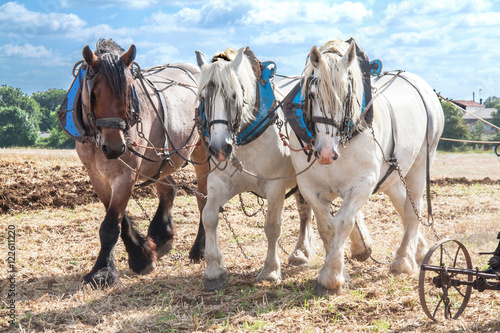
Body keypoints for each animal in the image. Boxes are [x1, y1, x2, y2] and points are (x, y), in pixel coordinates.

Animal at [70, 39, 207, 288]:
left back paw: (199, 249)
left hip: (203, 153)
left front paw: (102, 272)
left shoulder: (125, 176)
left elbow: (111, 225)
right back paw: (161, 235)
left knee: (204, 199)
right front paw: (142, 255)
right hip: (163, 160)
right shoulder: (97, 177)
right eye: (94, 94)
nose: (115, 148)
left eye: (128, 92)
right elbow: (119, 221)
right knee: (169, 190)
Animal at [195, 47, 320, 290]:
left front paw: (270, 270)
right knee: (304, 212)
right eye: (203, 97)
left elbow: (272, 226)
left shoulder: (275, 187)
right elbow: (209, 217)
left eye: (234, 96)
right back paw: (301, 252)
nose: (219, 148)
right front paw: (214, 270)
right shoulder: (219, 183)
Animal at [290, 39, 446, 296]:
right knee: (402, 203)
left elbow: (343, 222)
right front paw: (337, 273)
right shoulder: (310, 187)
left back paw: (403, 261)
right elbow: (326, 227)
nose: (325, 153)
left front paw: (331, 278)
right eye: (312, 94)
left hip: (422, 162)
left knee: (413, 210)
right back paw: (419, 250)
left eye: (347, 95)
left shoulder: (363, 183)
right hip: (393, 174)